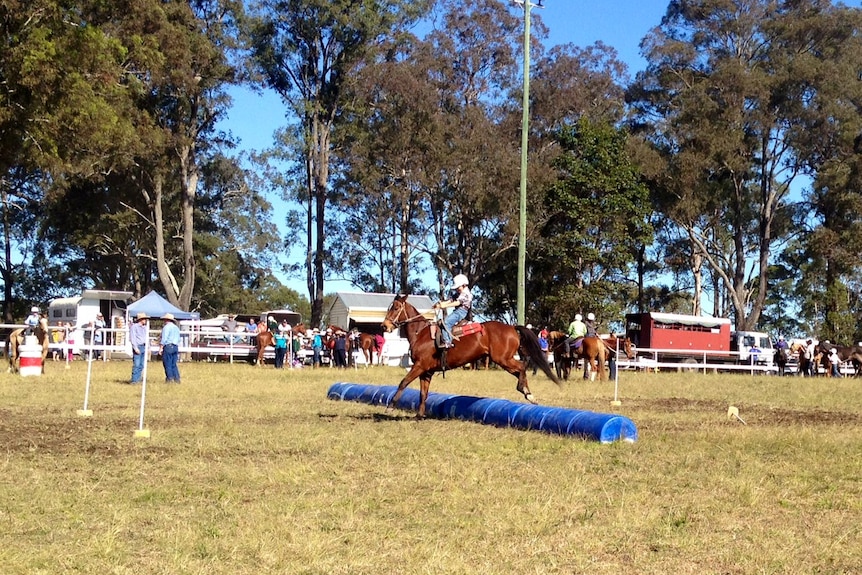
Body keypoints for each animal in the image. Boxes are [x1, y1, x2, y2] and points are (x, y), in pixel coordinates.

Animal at [384, 294, 560, 416]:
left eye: (395, 308)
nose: (384, 326)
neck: (420, 333)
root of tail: (511, 327)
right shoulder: (426, 372)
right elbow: (423, 393)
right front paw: (419, 415)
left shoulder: (419, 366)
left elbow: (403, 383)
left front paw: (390, 407)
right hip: (505, 360)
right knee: (520, 371)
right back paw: (528, 394)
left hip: (503, 359)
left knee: (522, 367)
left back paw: (526, 392)